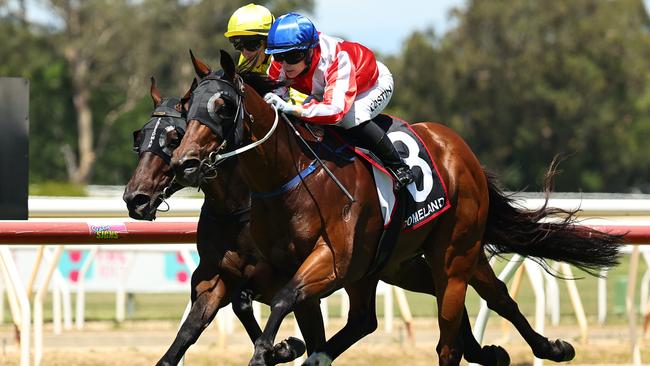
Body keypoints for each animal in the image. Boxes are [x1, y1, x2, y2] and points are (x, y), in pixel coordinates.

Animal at [170, 51, 620, 366]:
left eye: (223, 106)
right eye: (188, 105)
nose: (184, 162)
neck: (289, 177)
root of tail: (459, 148)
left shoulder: (332, 262)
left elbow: (283, 301)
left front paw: (269, 350)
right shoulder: (275, 267)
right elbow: (264, 305)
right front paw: (283, 347)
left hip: (452, 254)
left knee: (450, 337)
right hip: (402, 262)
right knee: (486, 298)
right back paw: (543, 348)